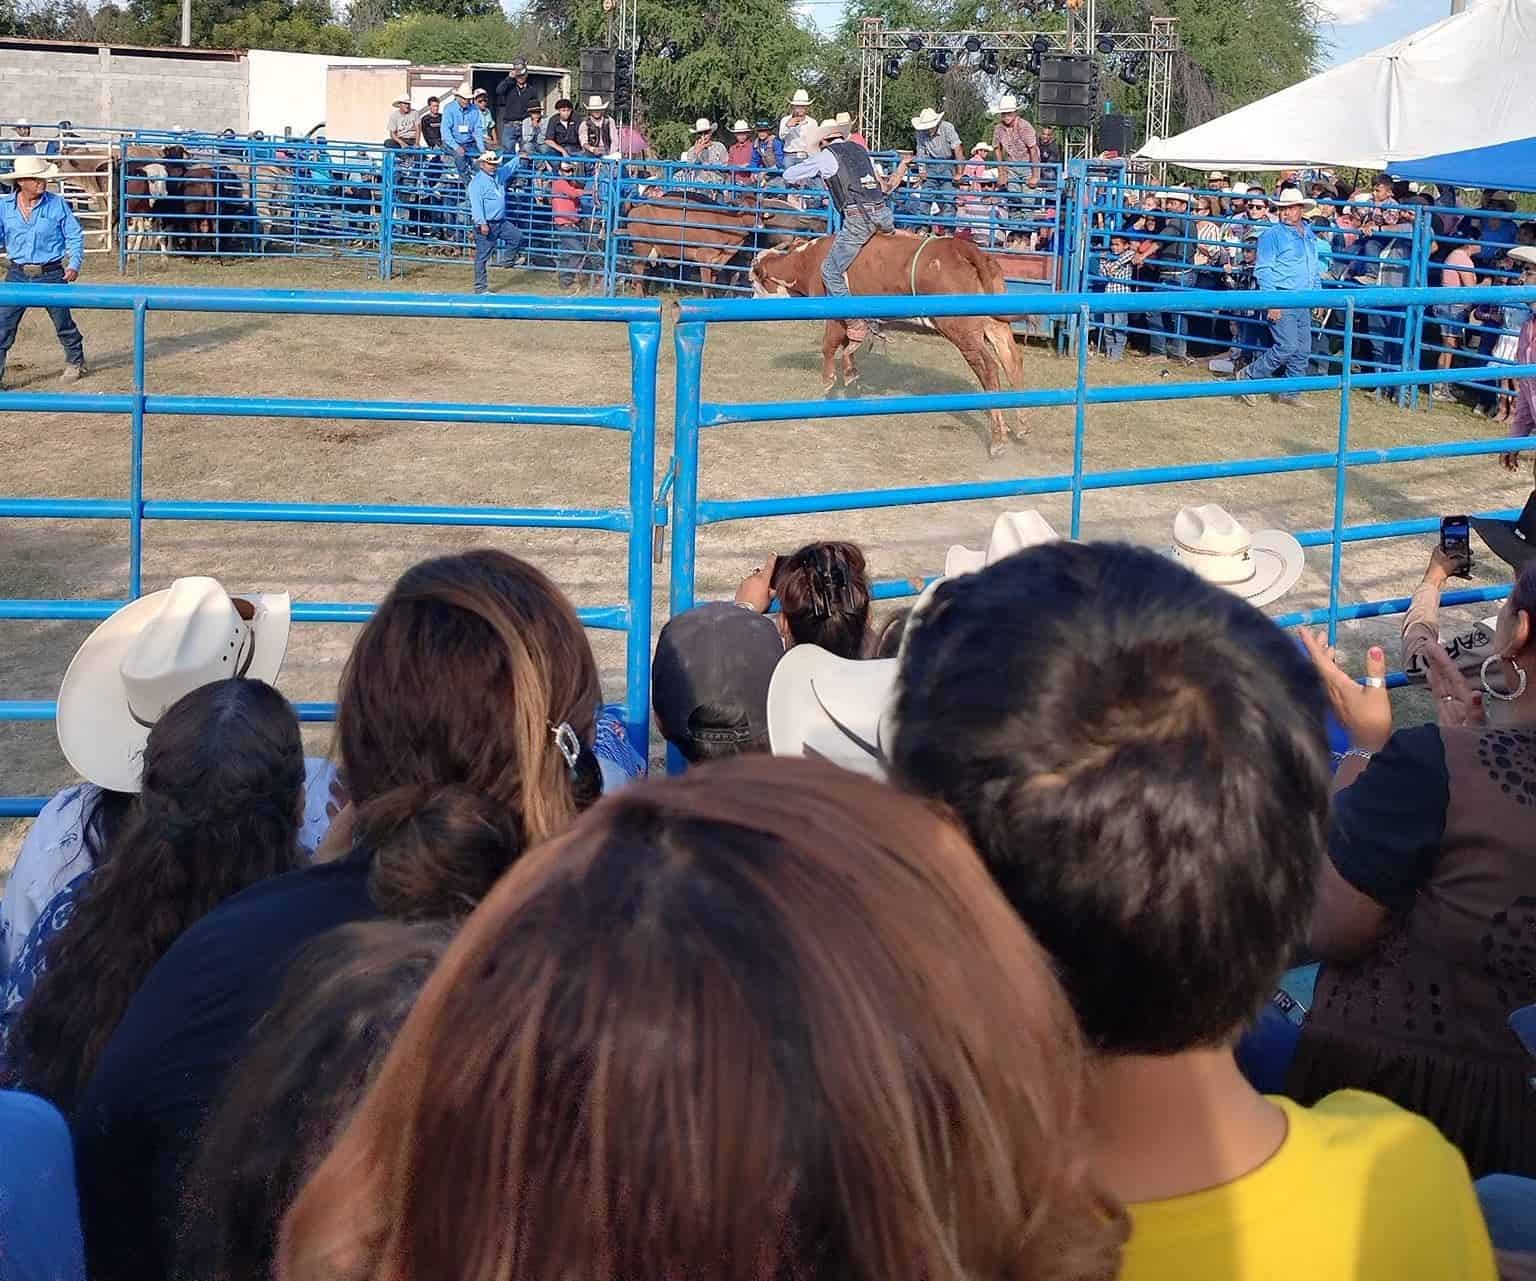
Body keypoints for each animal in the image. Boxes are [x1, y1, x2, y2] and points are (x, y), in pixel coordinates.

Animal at [620, 193, 768, 290]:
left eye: (760, 210)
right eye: (748, 209)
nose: (761, 226)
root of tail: (636, 207)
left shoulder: (716, 263)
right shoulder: (704, 259)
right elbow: (706, 287)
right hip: (642, 247)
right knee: (638, 272)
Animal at [749, 231, 1026, 457]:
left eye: (753, 281)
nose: (750, 300)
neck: (807, 262)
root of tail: (964, 249)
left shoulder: (835, 313)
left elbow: (829, 345)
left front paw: (828, 381)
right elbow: (850, 343)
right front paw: (850, 373)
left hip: (960, 327)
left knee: (989, 368)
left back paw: (998, 441)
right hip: (994, 323)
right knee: (1011, 360)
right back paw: (1021, 426)